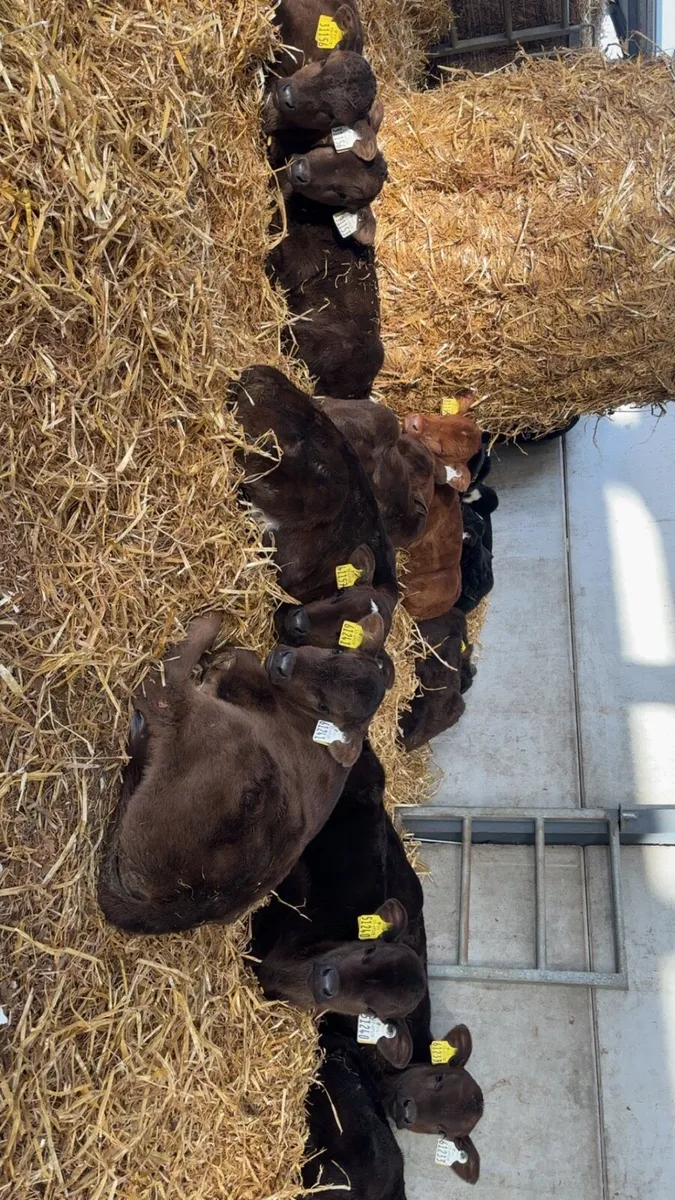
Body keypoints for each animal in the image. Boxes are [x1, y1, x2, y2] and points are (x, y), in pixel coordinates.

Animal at [98, 611, 393, 935]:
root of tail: (197, 902)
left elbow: (238, 658)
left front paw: (215, 667)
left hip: (211, 726)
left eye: (323, 704)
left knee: (162, 683)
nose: (282, 661)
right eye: (337, 651)